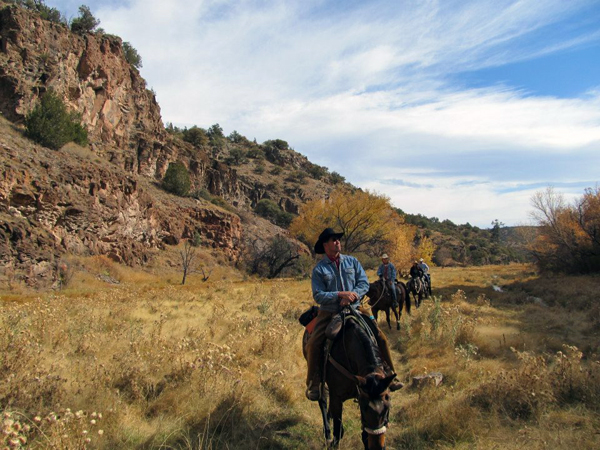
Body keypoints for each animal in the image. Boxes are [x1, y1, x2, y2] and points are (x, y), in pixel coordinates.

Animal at [302, 310, 396, 450]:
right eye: (364, 408)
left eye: (387, 407)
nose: (377, 446)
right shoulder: (337, 396)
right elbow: (338, 431)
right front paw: (332, 442)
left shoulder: (359, 392)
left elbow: (364, 436)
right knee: (322, 399)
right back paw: (327, 433)